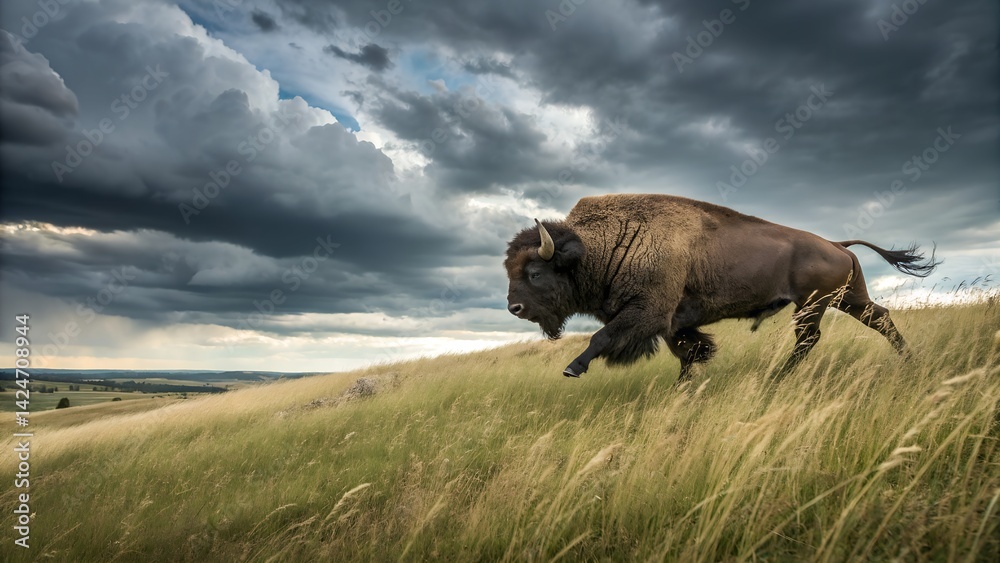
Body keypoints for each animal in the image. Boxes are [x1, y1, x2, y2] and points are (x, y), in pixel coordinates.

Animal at [504, 194, 939, 380]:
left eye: (535, 273)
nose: (514, 308)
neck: (601, 247)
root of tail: (836, 243)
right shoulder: (673, 322)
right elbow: (687, 351)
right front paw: (685, 385)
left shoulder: (647, 313)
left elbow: (601, 337)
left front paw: (572, 368)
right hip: (847, 299)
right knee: (879, 319)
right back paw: (910, 360)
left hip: (814, 304)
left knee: (810, 338)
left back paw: (779, 376)